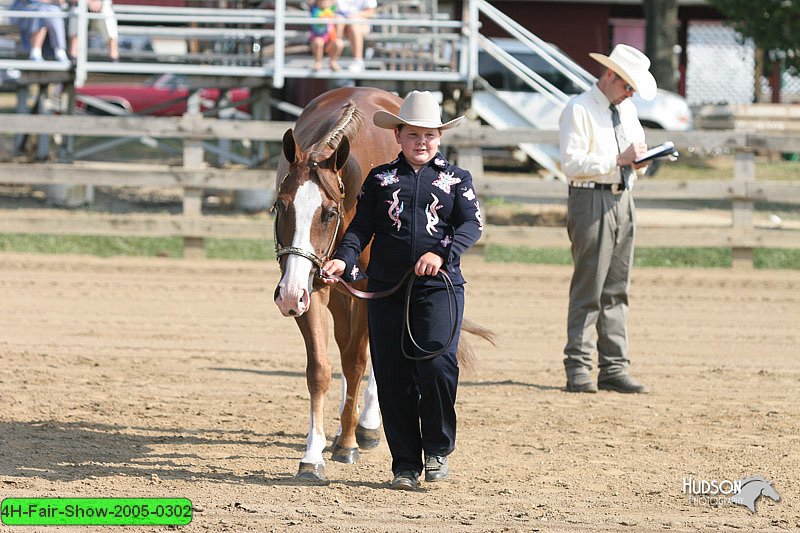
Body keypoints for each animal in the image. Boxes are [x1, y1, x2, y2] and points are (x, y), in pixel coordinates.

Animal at [272, 86, 404, 478]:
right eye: (281, 206)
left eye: (328, 213)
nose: (287, 295)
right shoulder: (309, 289)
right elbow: (321, 370)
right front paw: (312, 453)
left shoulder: (368, 292)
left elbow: (358, 362)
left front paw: (347, 442)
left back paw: (367, 426)